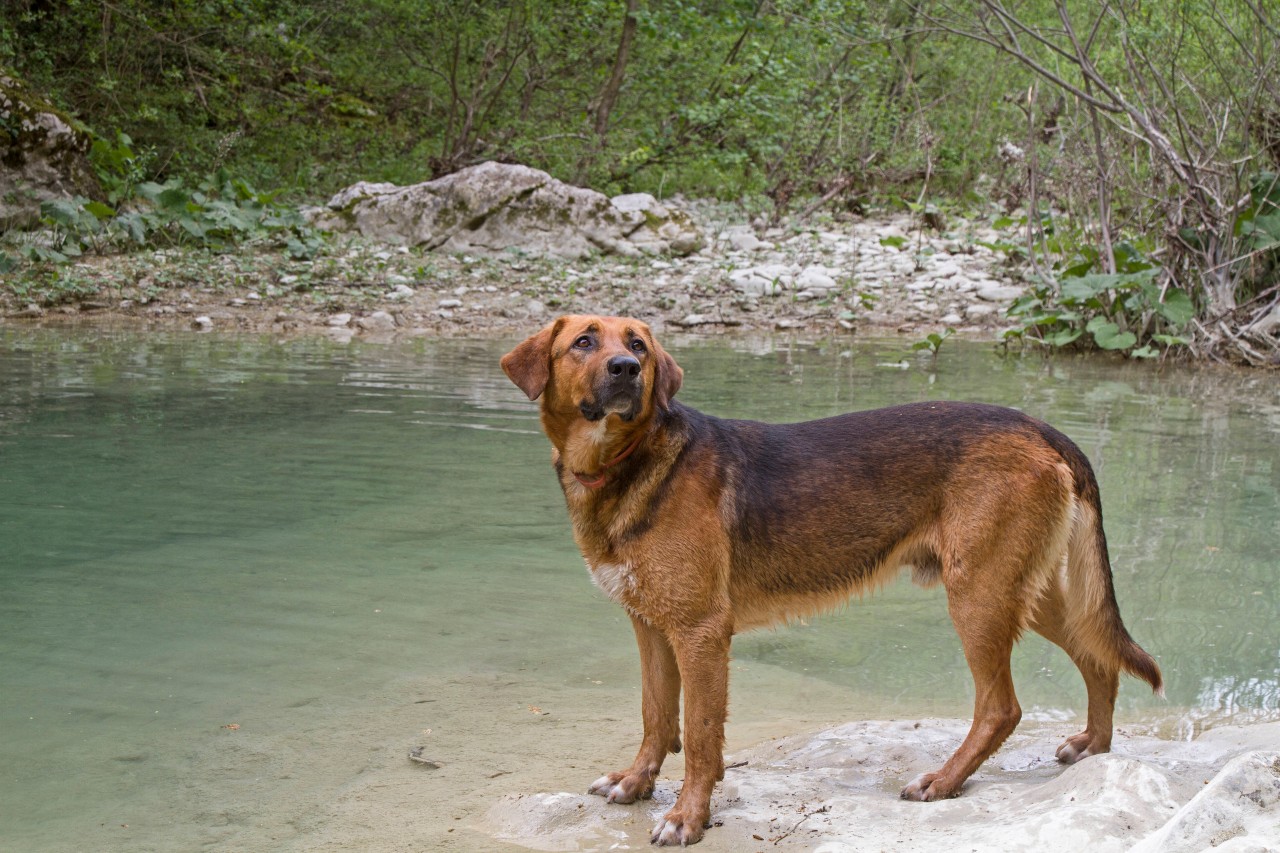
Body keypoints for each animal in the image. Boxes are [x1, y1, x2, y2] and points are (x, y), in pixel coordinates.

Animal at [504, 313, 1167, 845]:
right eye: (585, 342)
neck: (626, 463)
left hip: (980, 594)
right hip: (1030, 592)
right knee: (1098, 655)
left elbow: (698, 736)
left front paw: (688, 818)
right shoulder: (650, 626)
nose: (626, 369)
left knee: (1002, 707)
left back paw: (943, 781)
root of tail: (1041, 427)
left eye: (638, 346)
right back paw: (1093, 748)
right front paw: (637, 783)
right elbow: (655, 717)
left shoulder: (700, 633)